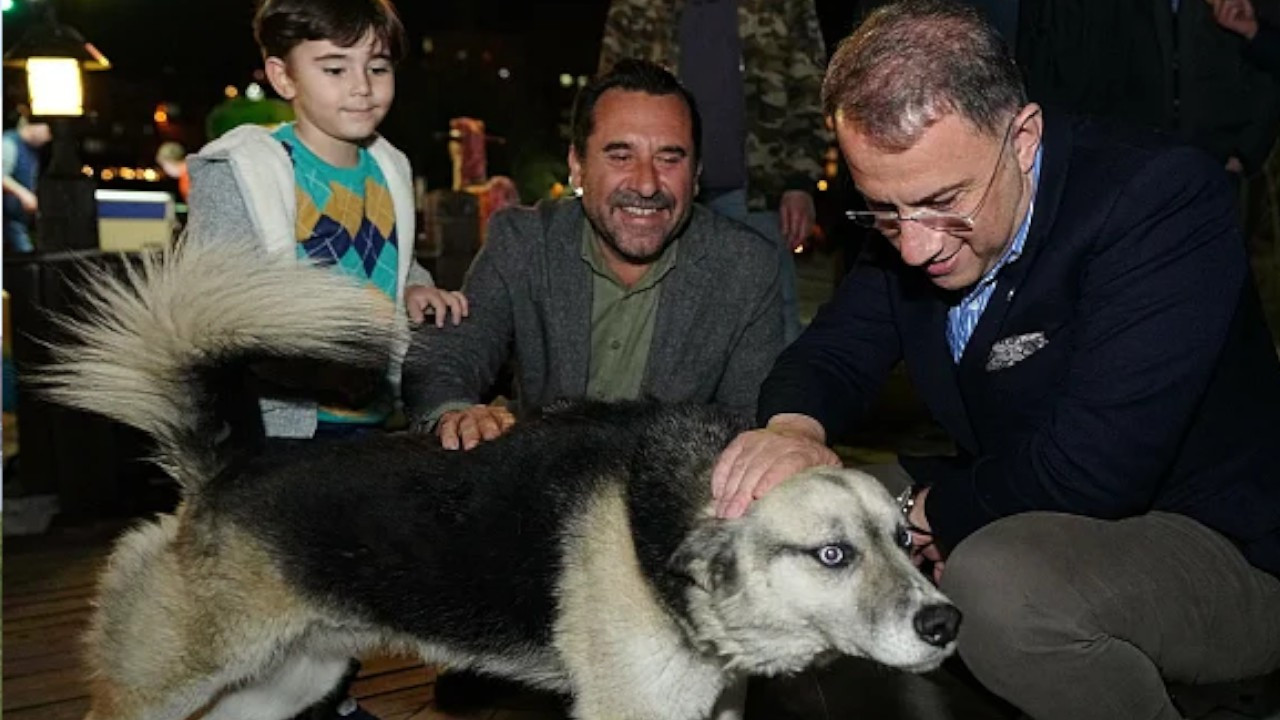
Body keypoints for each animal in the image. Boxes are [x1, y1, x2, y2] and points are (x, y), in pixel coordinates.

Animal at [40, 242, 957, 717]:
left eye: (904, 536)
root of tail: (230, 466)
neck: (668, 528)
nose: (946, 623)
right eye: (832, 554)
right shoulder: (634, 710)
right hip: (169, 686)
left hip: (282, 680)